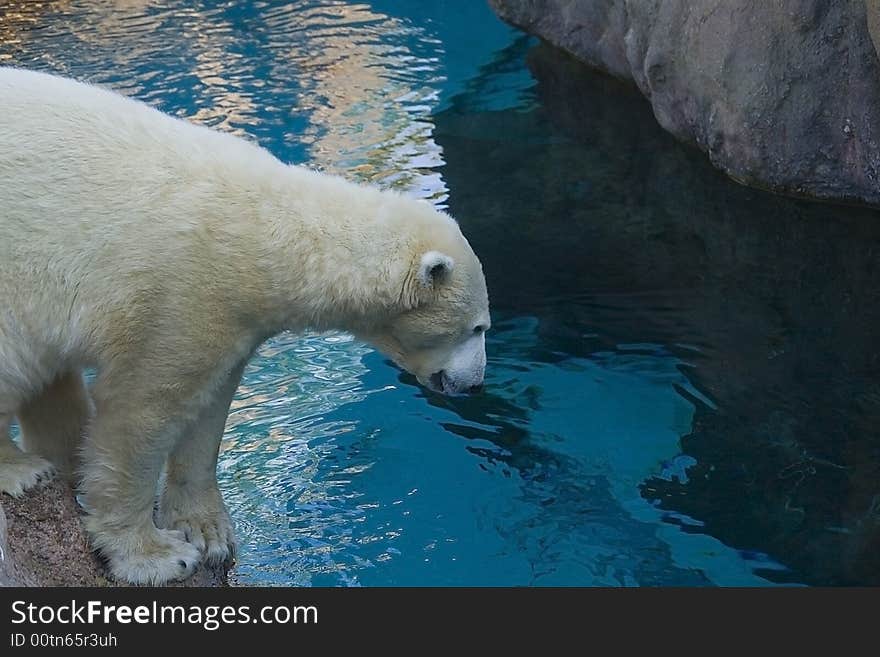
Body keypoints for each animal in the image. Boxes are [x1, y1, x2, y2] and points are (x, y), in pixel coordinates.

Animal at [0, 68, 488, 584]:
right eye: (478, 328)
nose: (475, 384)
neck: (265, 235)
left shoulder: (232, 321)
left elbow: (208, 413)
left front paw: (208, 532)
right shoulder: (179, 296)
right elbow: (140, 412)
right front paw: (156, 555)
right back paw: (22, 470)